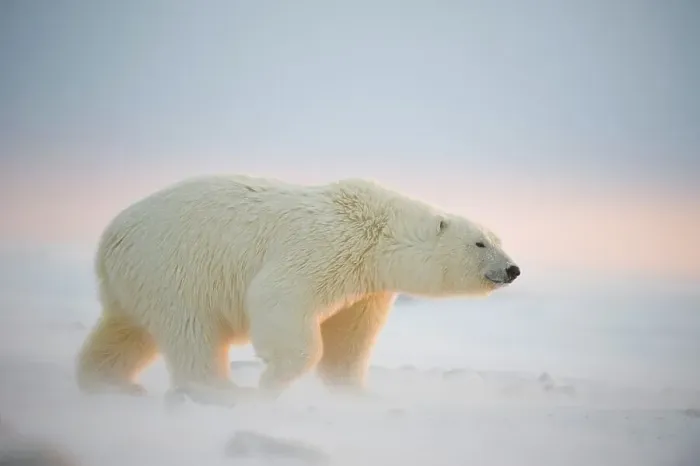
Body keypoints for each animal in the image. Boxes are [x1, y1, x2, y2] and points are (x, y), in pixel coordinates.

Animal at [75, 174, 520, 406]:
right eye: (480, 243)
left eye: (499, 238)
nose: (513, 269)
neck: (376, 230)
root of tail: (109, 240)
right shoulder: (325, 246)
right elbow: (278, 296)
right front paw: (272, 380)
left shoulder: (366, 286)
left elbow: (349, 336)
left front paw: (355, 394)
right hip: (173, 269)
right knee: (191, 333)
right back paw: (221, 391)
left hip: (136, 280)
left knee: (124, 332)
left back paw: (108, 383)